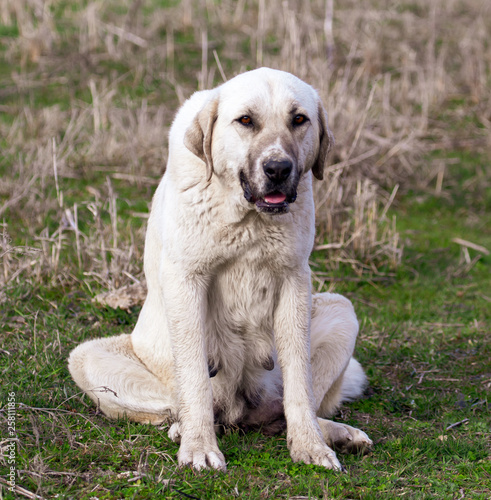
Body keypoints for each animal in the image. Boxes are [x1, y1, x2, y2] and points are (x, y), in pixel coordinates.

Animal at [68, 68, 372, 470]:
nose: (278, 169)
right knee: (177, 404)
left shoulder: (294, 282)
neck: (248, 218)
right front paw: (198, 447)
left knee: (290, 403)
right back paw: (184, 428)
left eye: (299, 120)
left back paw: (333, 433)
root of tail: (240, 412)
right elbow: (195, 375)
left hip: (340, 310)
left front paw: (310, 445)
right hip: (87, 359)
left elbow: (300, 383)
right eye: (245, 120)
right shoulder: (186, 282)